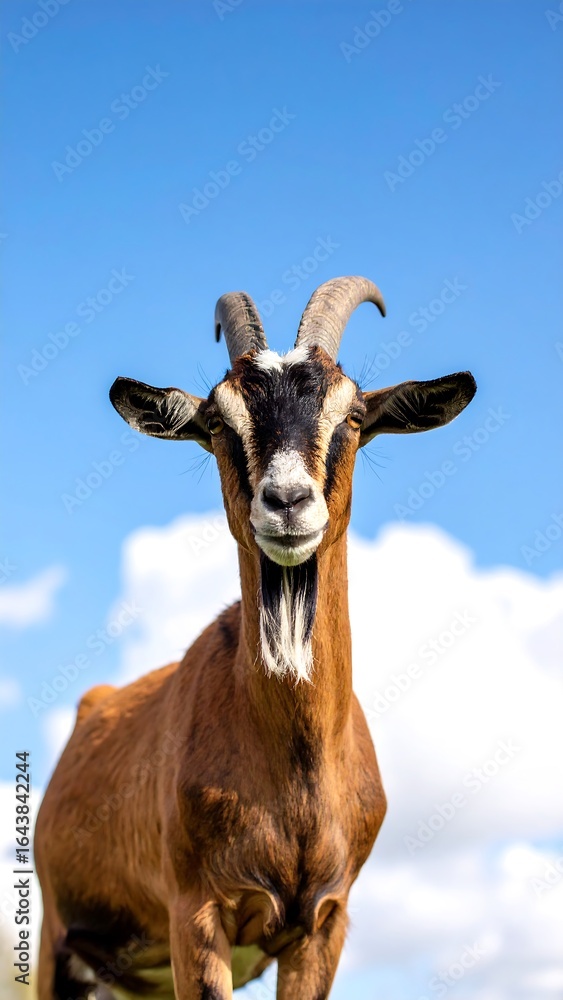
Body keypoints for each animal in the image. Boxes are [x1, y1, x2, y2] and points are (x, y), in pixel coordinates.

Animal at [35, 276, 476, 998]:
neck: (292, 766)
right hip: (59, 942)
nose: (287, 502)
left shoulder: (323, 922)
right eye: (218, 421)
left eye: (355, 415)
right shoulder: (195, 911)